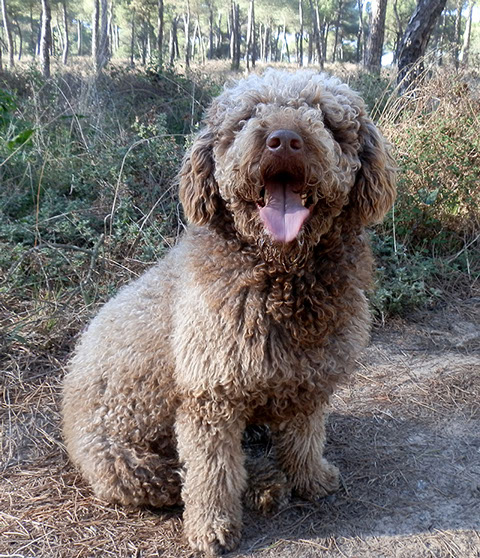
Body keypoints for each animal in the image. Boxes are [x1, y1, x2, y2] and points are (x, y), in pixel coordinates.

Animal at [62, 71, 396, 558]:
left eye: (327, 120)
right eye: (245, 118)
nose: (283, 139)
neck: (281, 278)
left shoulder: (309, 379)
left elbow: (305, 436)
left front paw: (311, 478)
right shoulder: (209, 397)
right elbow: (212, 473)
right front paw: (213, 528)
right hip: (127, 463)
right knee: (181, 478)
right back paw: (262, 483)